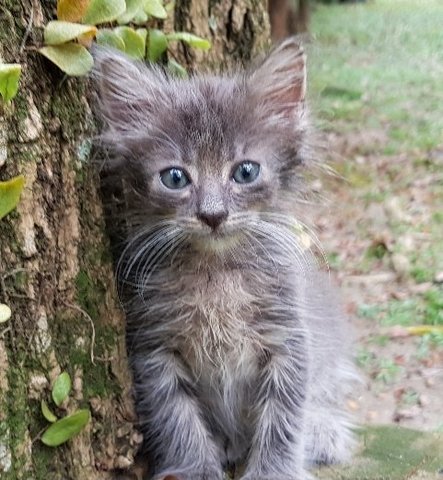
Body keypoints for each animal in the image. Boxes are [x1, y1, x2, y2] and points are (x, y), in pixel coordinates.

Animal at [95, 38, 356, 480]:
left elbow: (283, 418)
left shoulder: (288, 338)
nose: (213, 214)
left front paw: (273, 471)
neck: (217, 277)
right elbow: (177, 418)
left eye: (245, 172)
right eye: (175, 177)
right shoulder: (155, 348)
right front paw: (197, 468)